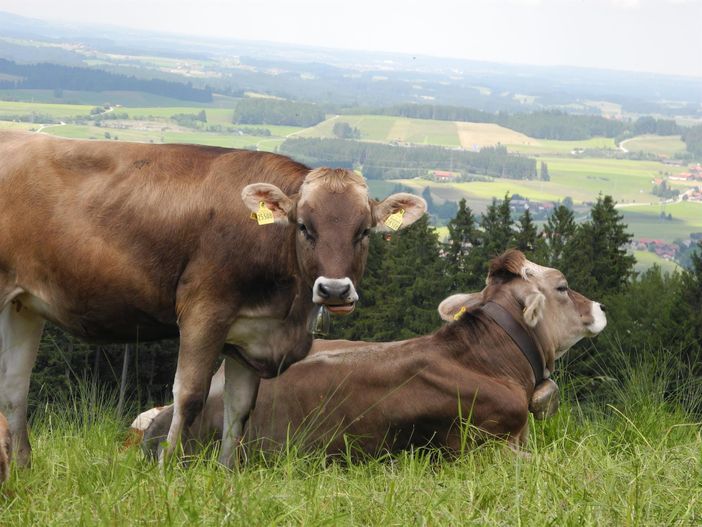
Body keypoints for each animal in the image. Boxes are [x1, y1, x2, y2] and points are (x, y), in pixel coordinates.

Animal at [0, 131, 426, 466]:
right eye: (305, 227)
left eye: (363, 231)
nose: (334, 290)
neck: (285, 312)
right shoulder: (203, 312)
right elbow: (189, 396)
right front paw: (166, 470)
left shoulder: (250, 335)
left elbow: (238, 411)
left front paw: (226, 475)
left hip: (23, 305)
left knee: (14, 388)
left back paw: (23, 468)